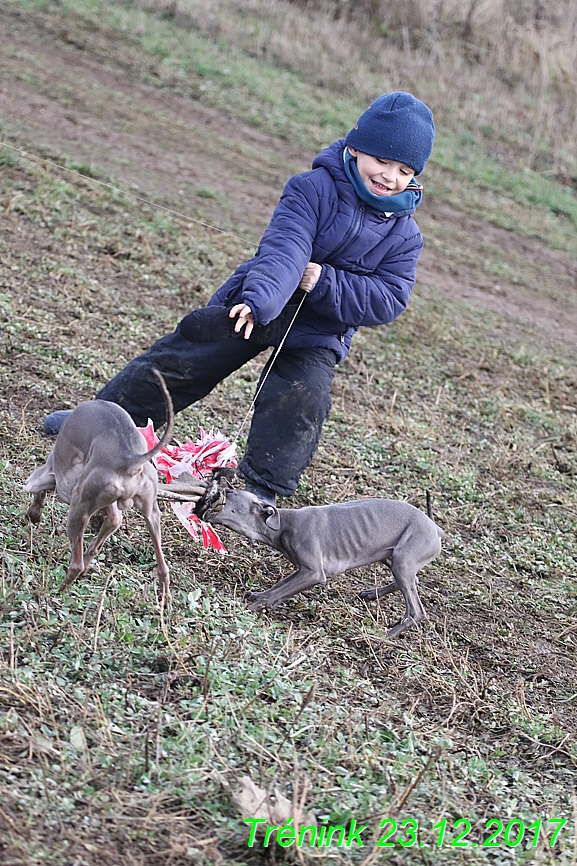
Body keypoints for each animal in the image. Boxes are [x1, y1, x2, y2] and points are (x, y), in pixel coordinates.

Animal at [25, 368, 173, 596]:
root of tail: (131, 458)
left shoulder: (53, 476)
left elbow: (38, 491)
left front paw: (34, 514)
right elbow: (113, 520)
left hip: (79, 507)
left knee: (76, 564)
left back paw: (57, 590)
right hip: (151, 513)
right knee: (163, 567)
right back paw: (164, 598)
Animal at [196, 480, 444, 636]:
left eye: (231, 493)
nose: (215, 489)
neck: (282, 524)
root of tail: (435, 528)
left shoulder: (314, 572)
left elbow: (278, 592)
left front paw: (255, 605)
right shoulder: (301, 569)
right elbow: (279, 585)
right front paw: (259, 595)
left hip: (404, 557)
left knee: (416, 610)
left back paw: (388, 634)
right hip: (391, 556)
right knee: (412, 580)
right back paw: (371, 594)